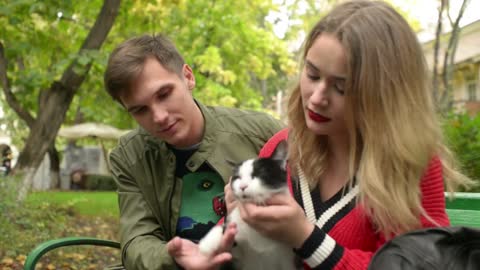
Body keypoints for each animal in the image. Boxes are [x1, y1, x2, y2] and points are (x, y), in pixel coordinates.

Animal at [197, 141, 298, 270]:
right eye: (237, 178)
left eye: (259, 174)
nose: (242, 186)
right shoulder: (237, 256)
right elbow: (227, 231)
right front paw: (207, 243)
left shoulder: (287, 258)